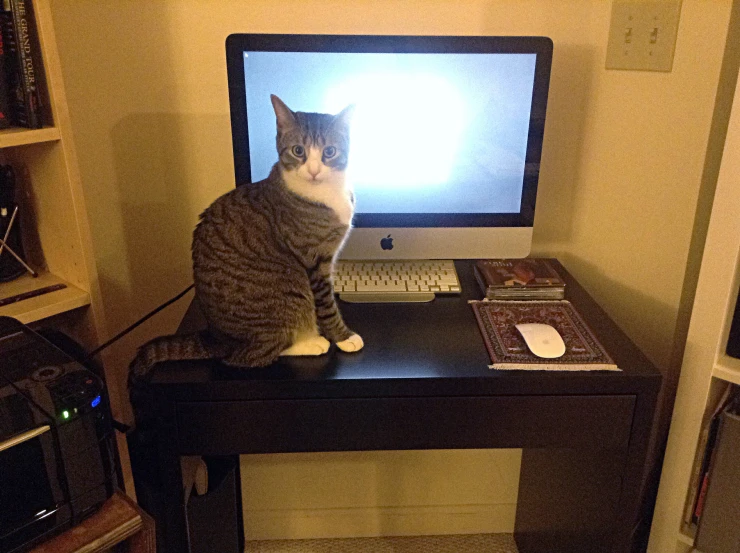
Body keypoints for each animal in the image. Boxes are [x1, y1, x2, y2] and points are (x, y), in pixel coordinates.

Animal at [128, 95, 364, 420]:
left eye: (329, 152)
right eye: (298, 151)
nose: (314, 170)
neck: (322, 194)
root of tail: (216, 337)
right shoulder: (314, 261)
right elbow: (327, 306)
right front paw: (343, 337)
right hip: (288, 293)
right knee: (247, 356)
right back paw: (310, 342)